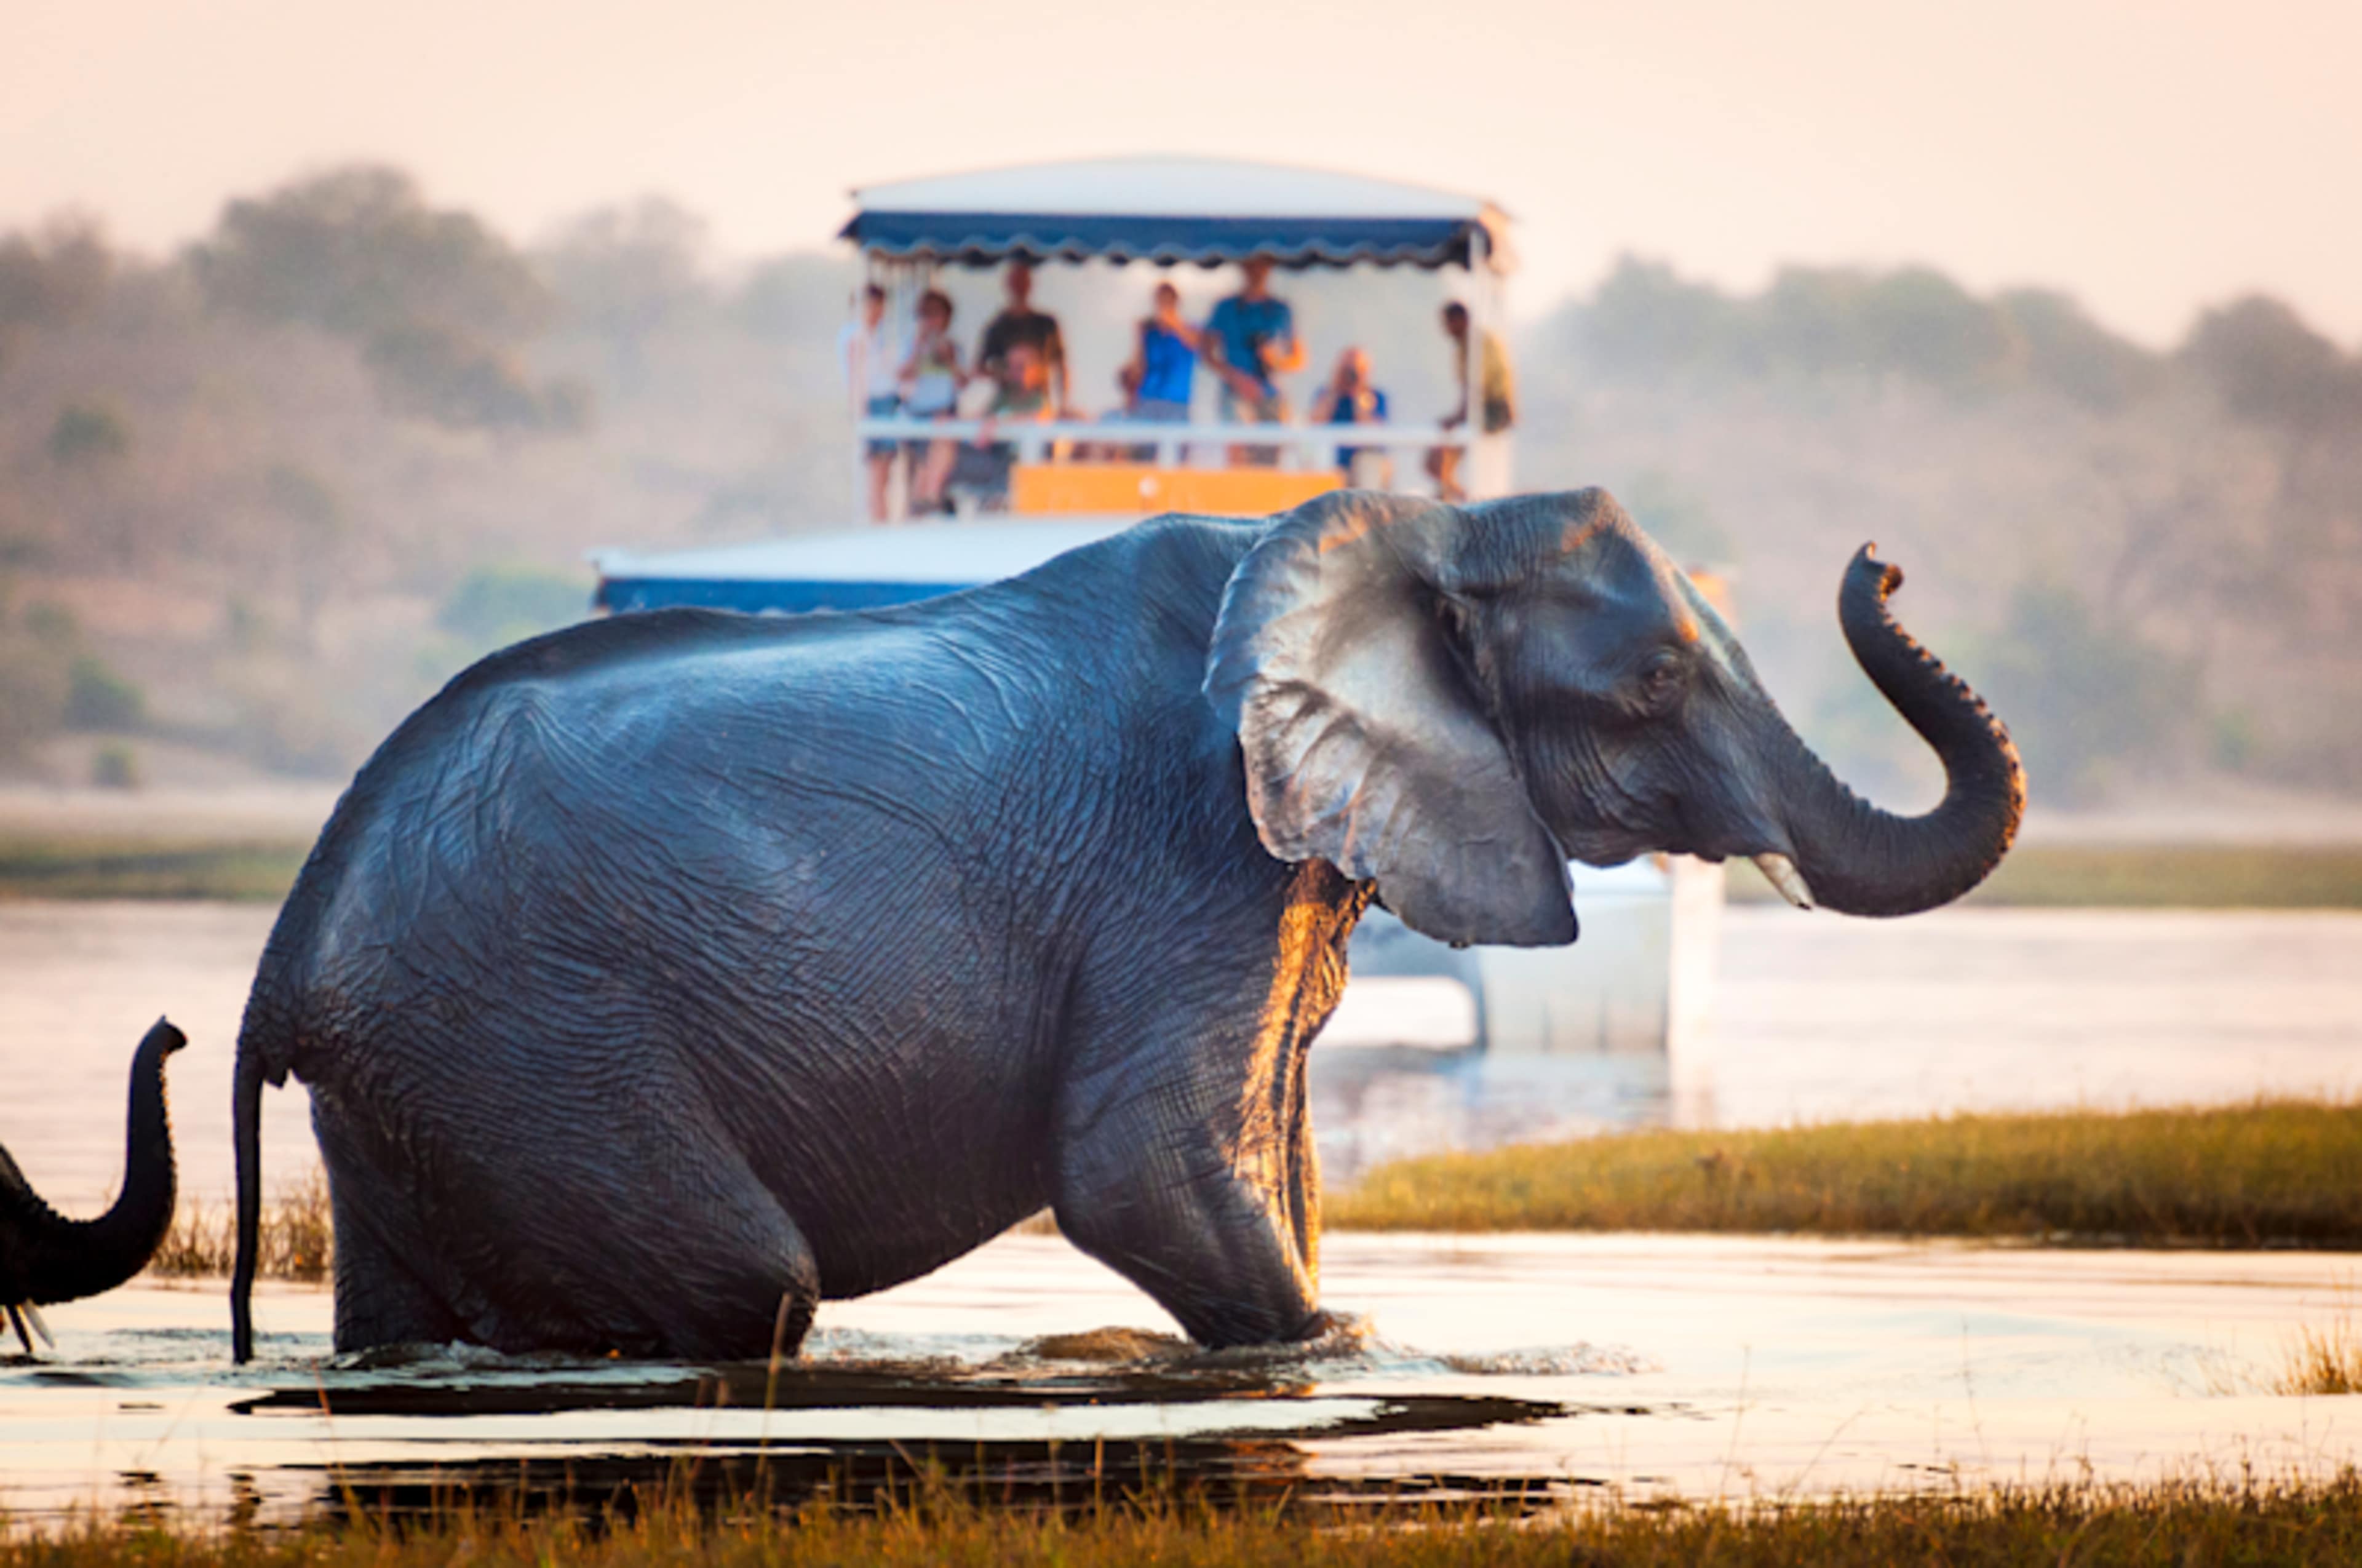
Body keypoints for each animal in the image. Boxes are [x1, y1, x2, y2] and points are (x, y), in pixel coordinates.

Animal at [229, 489, 2023, 1363]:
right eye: (1651, 681)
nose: (1882, 558)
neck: (1396, 532)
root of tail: (286, 958)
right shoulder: (1186, 852)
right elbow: (1142, 1165)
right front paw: (1343, 1349)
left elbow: (1271, 1161)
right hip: (528, 1032)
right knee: (746, 1283)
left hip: (431, 1081)